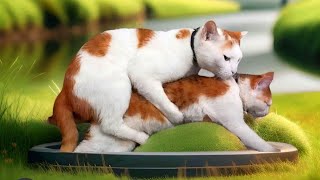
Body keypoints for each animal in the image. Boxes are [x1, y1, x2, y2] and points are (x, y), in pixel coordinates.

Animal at [48, 20, 248, 152]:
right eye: (226, 58)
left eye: (238, 60)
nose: (234, 72)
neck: (188, 48)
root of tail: (64, 89)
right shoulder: (141, 75)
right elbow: (164, 102)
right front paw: (176, 117)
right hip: (120, 85)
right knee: (110, 125)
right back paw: (142, 138)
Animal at [75, 72, 278, 153]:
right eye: (268, 104)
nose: (267, 112)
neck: (235, 86)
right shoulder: (235, 123)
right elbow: (255, 139)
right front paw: (271, 149)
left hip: (122, 144)